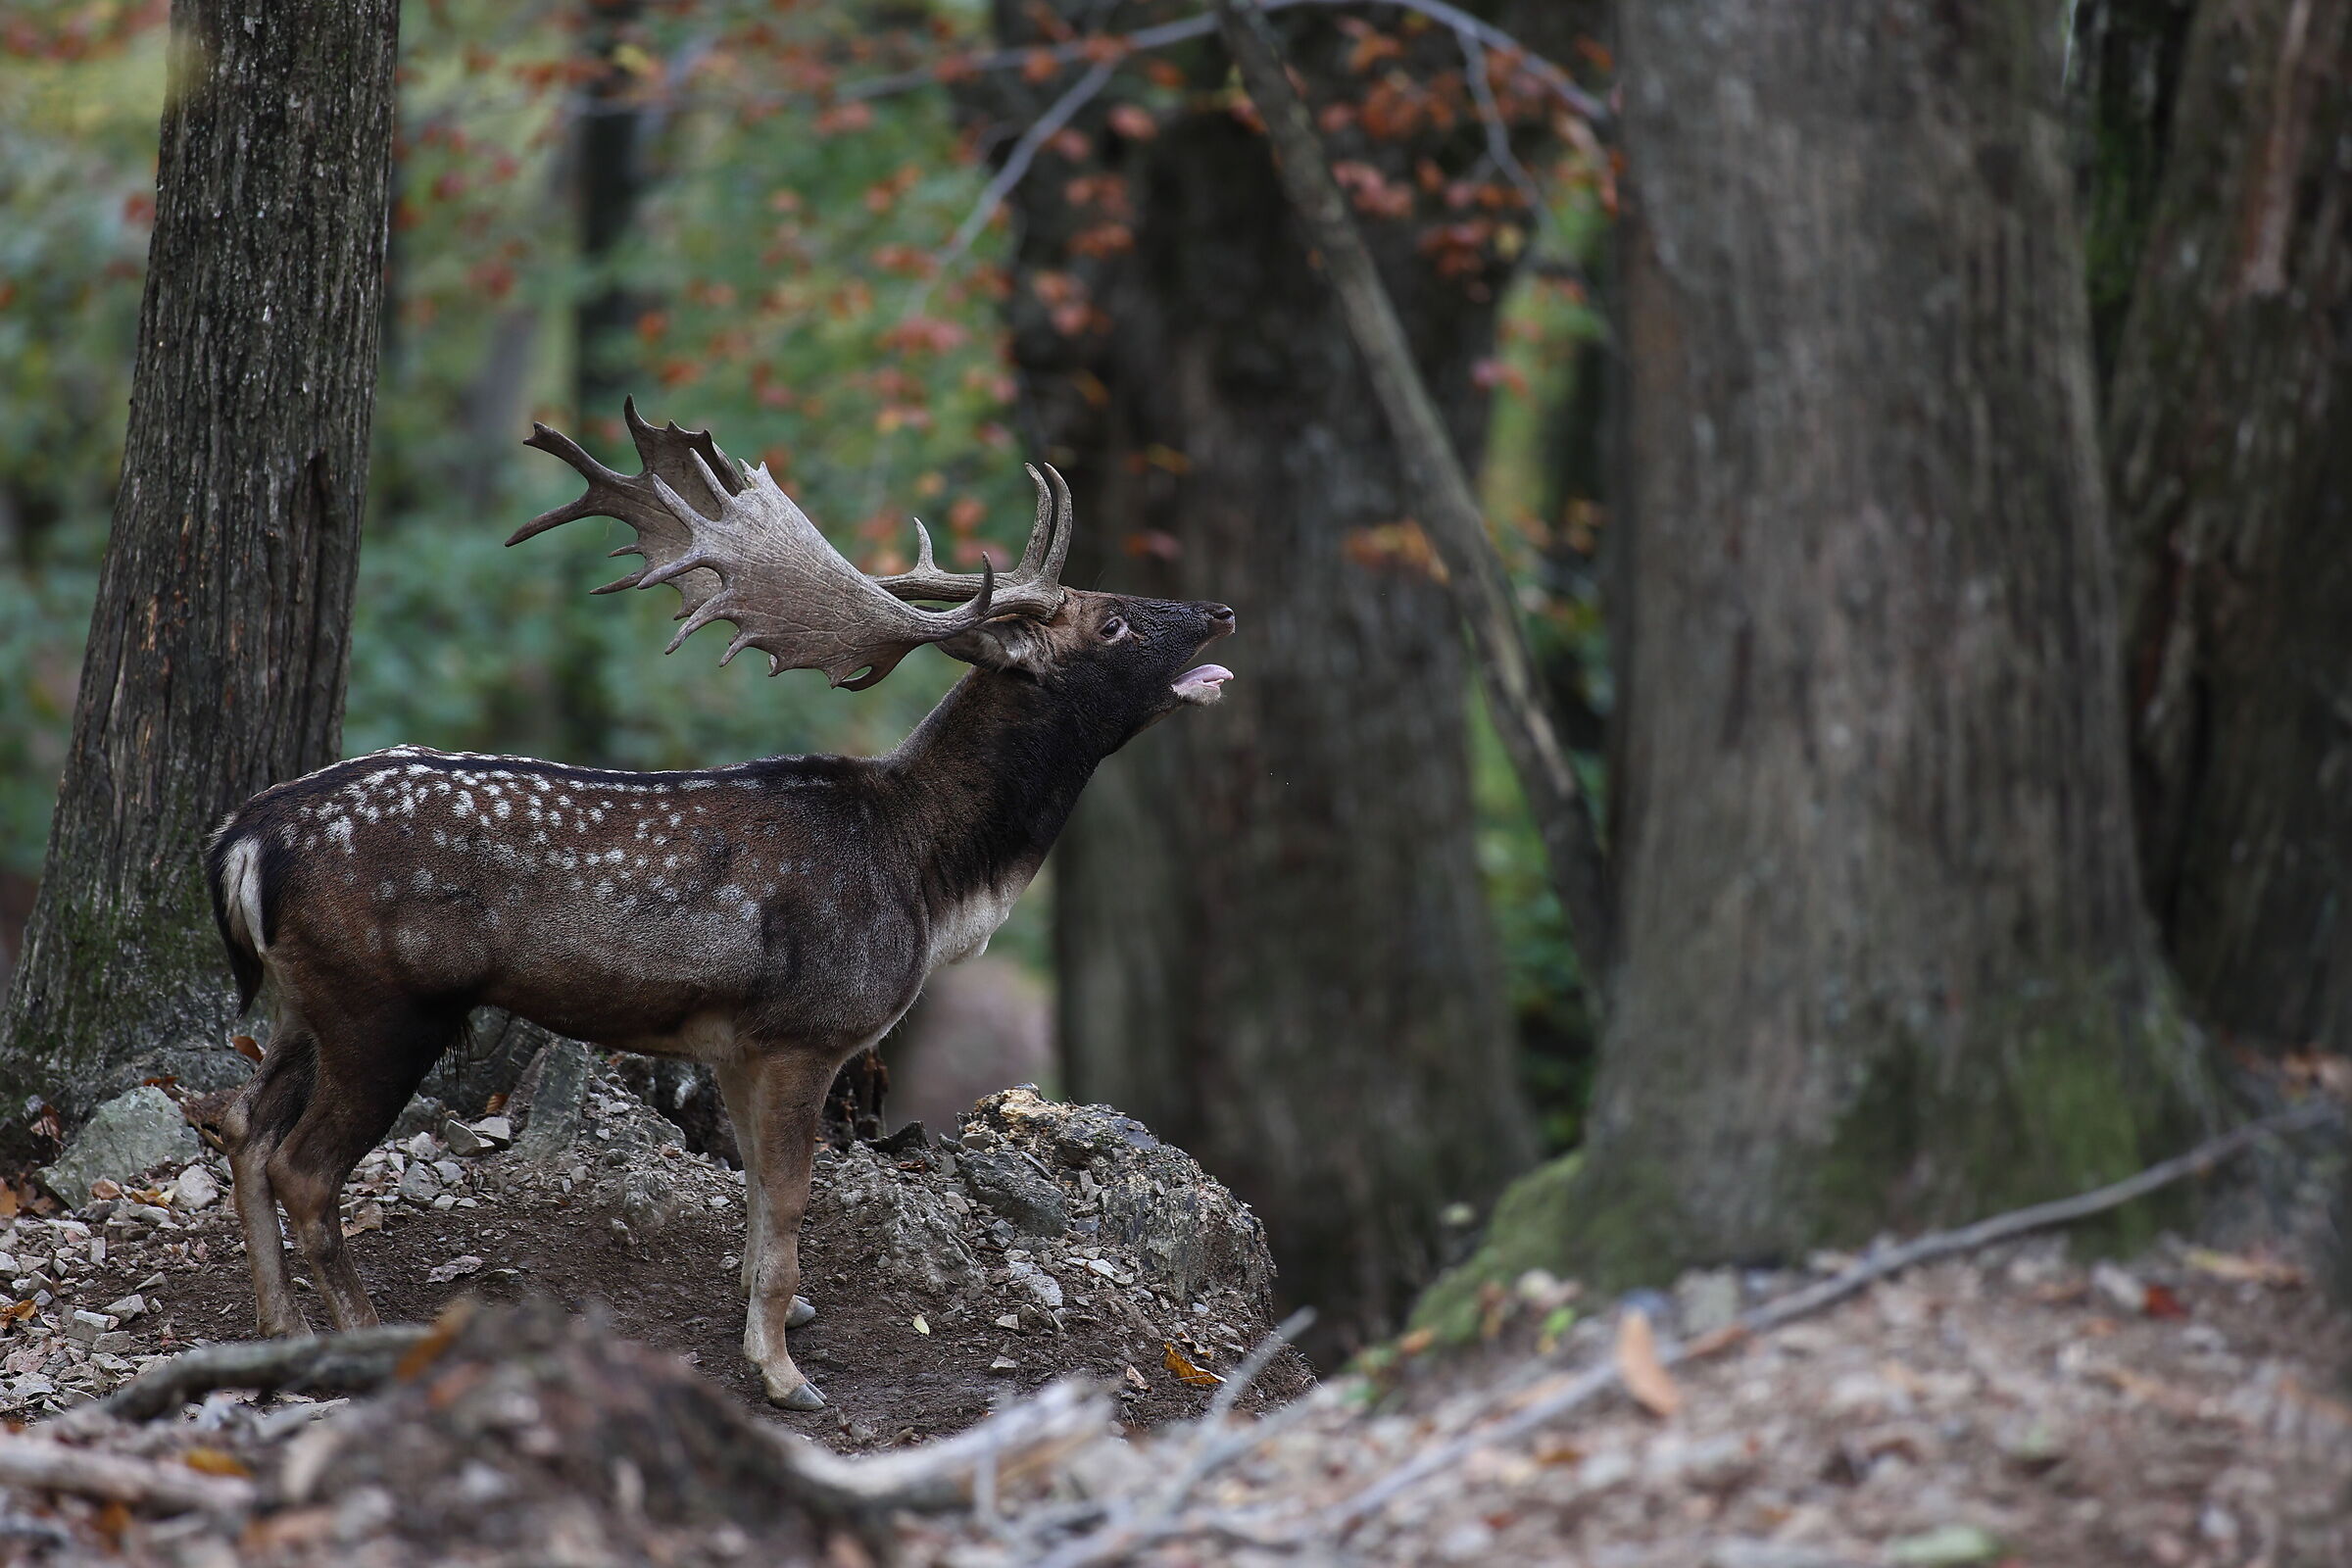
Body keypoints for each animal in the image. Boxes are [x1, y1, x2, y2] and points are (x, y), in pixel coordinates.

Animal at [197, 401, 1234, 1410]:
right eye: (1111, 625)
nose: (1219, 610)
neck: (925, 871)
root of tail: (245, 834)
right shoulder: (808, 1031)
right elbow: (791, 1201)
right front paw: (782, 1374)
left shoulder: (737, 1042)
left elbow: (755, 1199)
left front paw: (772, 1318)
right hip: (384, 1005)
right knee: (302, 1167)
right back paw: (365, 1340)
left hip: (305, 998)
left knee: (243, 1123)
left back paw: (278, 1330)